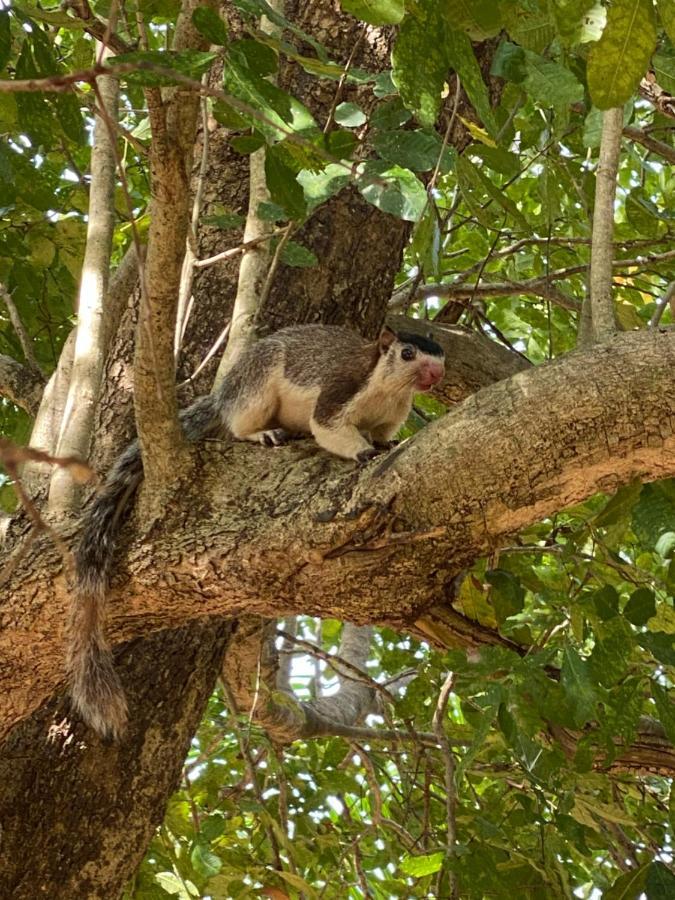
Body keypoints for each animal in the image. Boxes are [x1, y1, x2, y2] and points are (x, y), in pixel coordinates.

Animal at [68, 324, 446, 740]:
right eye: (408, 353)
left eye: (441, 357)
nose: (436, 375)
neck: (389, 389)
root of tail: (223, 395)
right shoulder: (341, 389)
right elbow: (329, 427)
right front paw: (364, 453)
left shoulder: (388, 417)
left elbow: (380, 435)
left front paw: (384, 444)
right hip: (256, 386)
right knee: (240, 425)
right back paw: (262, 435)